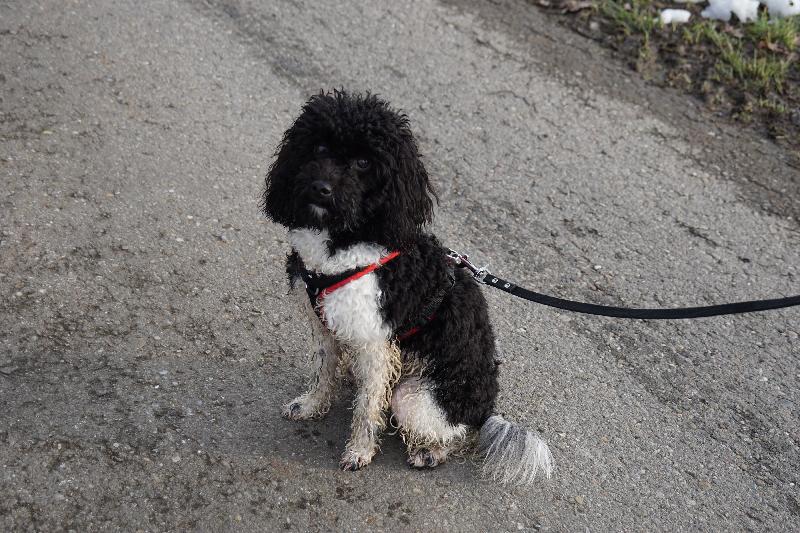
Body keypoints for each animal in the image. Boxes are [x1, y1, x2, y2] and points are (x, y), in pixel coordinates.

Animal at [262, 90, 552, 483]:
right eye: (319, 147)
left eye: (364, 163)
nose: (321, 189)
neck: (347, 241)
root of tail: (484, 410)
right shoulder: (323, 328)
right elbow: (322, 373)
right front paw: (310, 406)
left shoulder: (376, 344)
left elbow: (368, 410)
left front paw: (359, 452)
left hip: (415, 397)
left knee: (457, 435)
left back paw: (430, 452)